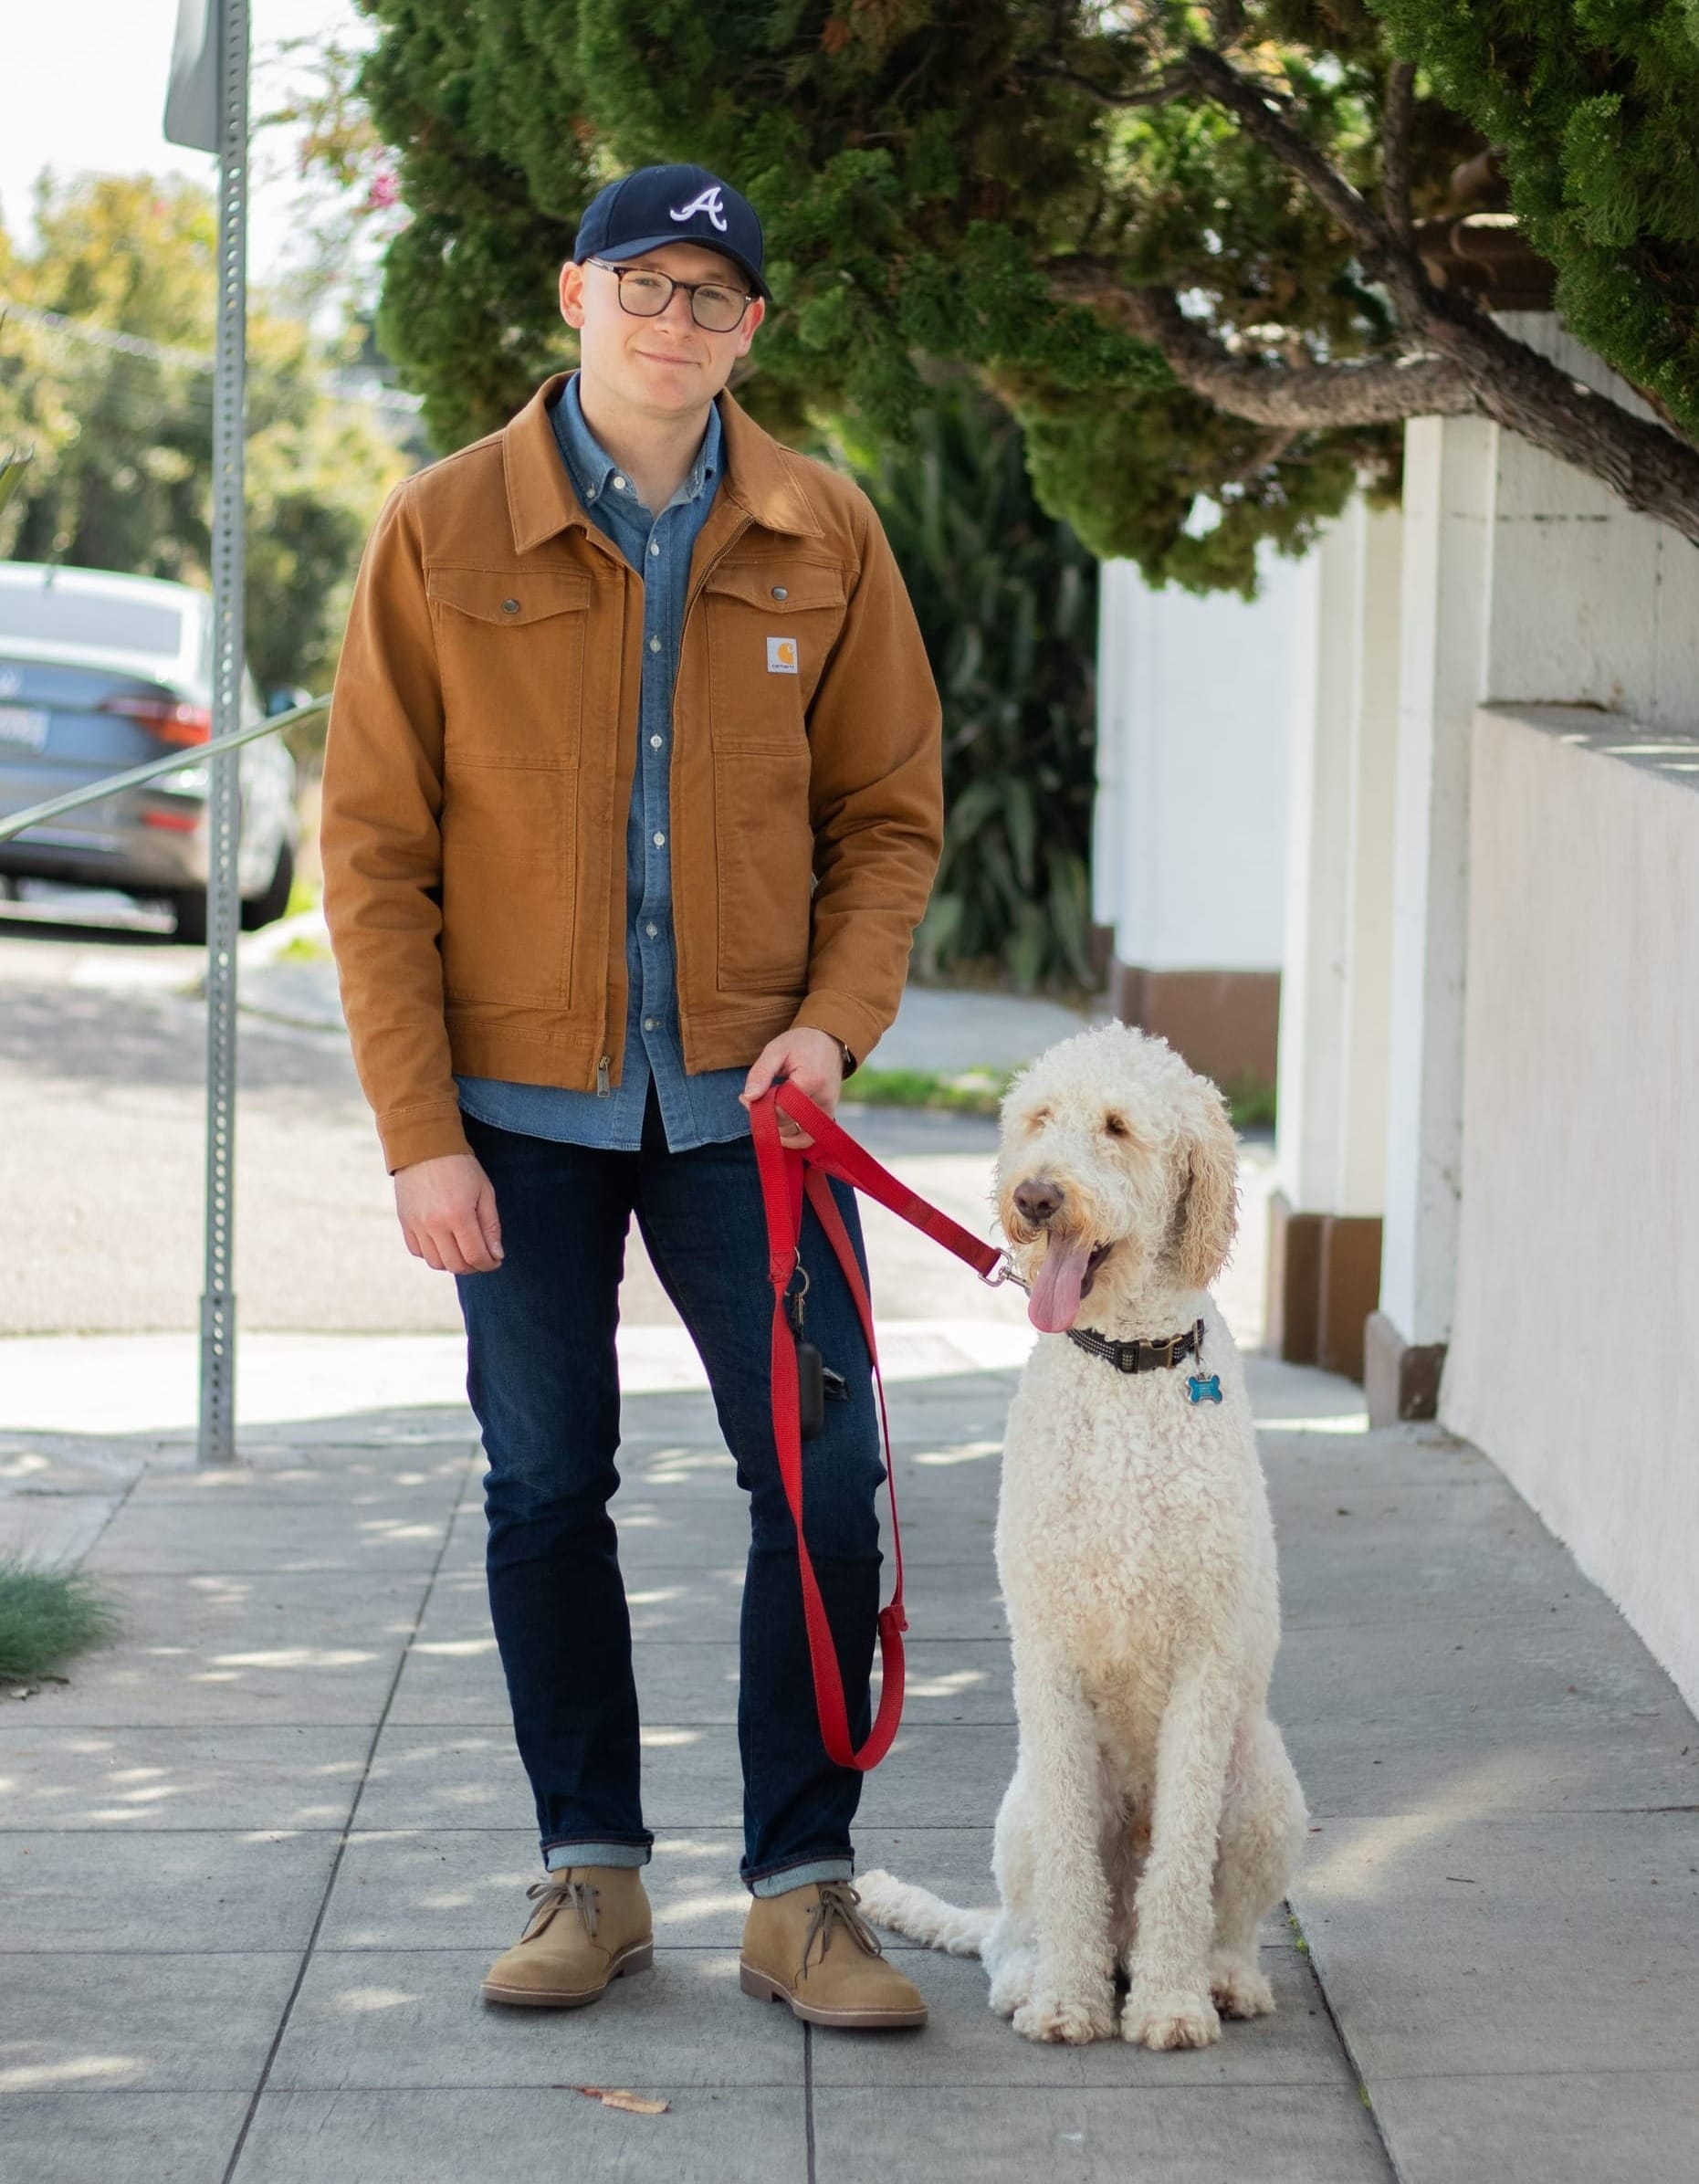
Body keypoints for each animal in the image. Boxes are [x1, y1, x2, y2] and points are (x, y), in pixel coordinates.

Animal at [855, 1022, 1301, 2043]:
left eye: (1118, 1126)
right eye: (1037, 1118)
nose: (1034, 1196)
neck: (1122, 1365)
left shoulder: (1204, 1658)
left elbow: (1181, 1860)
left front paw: (1172, 2004)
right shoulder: (1049, 1652)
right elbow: (1067, 1865)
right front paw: (1065, 1998)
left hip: (1264, 1784)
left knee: (1223, 1913)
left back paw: (1220, 1975)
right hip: (1019, 1806)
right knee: (1011, 1927)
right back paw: (1037, 1970)